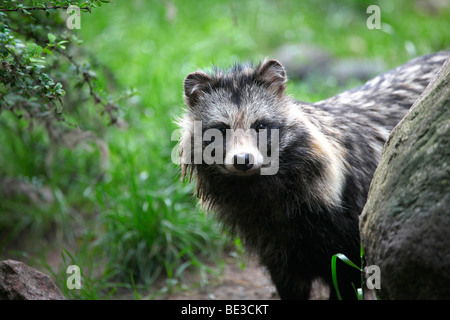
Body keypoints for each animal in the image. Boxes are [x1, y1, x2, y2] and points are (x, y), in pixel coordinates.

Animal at [177, 51, 450, 298]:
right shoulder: (275, 245)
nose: (243, 160)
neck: (263, 191)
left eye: (261, 126)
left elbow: (346, 282)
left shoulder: (351, 226)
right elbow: (288, 284)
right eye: (221, 129)